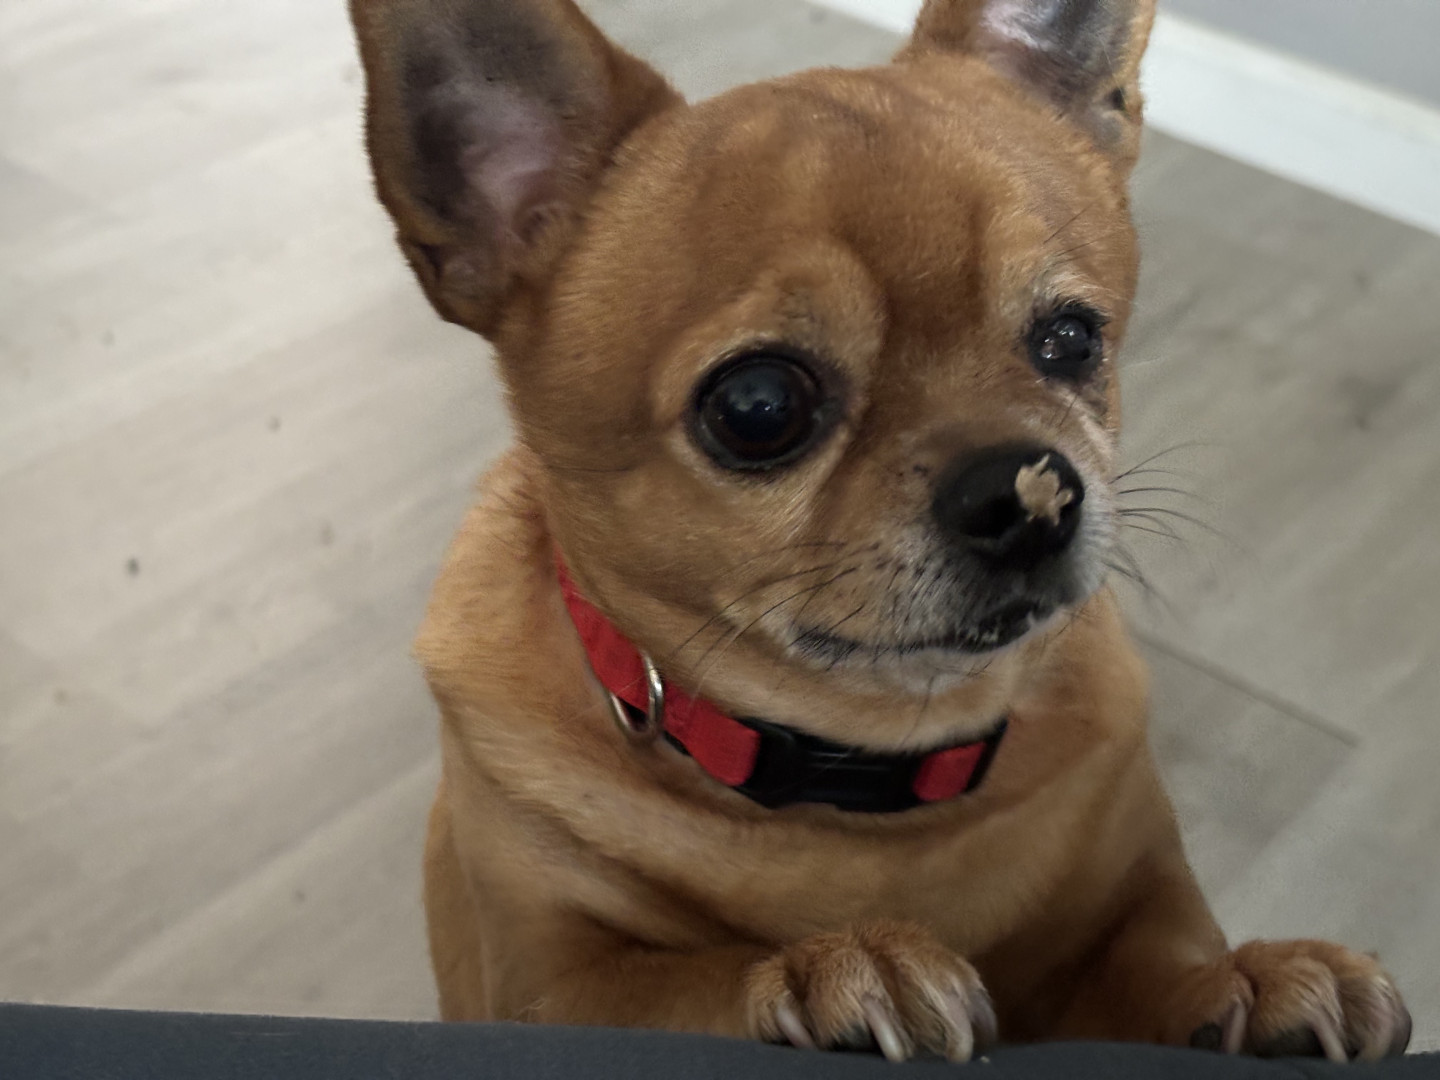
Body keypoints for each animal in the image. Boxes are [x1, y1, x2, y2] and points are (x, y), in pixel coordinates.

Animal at [349, 0, 1412, 1061]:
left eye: (1072, 339)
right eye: (757, 406)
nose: (1029, 494)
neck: (873, 771)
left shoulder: (1136, 907)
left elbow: (1155, 972)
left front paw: (1253, 983)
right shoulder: (543, 989)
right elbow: (678, 982)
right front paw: (821, 967)